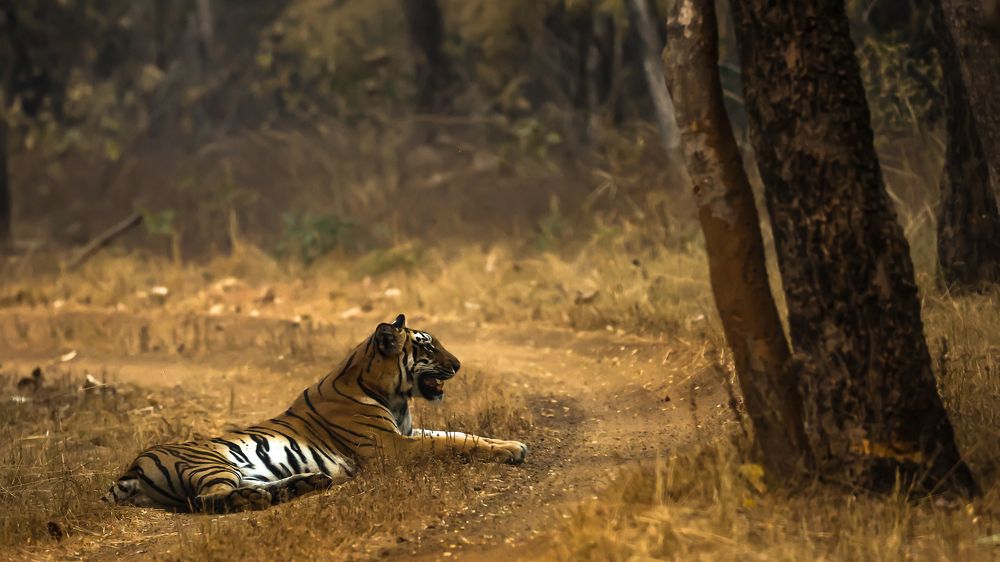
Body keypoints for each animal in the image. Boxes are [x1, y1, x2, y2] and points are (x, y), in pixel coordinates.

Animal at [104, 314, 528, 513]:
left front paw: (511, 445)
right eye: (427, 347)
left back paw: (304, 484)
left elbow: (461, 435)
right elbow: (451, 444)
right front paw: (511, 451)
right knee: (208, 500)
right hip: (208, 463)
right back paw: (266, 496)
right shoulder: (391, 447)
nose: (458, 365)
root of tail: (131, 468)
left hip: (242, 469)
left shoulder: (407, 433)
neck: (393, 394)